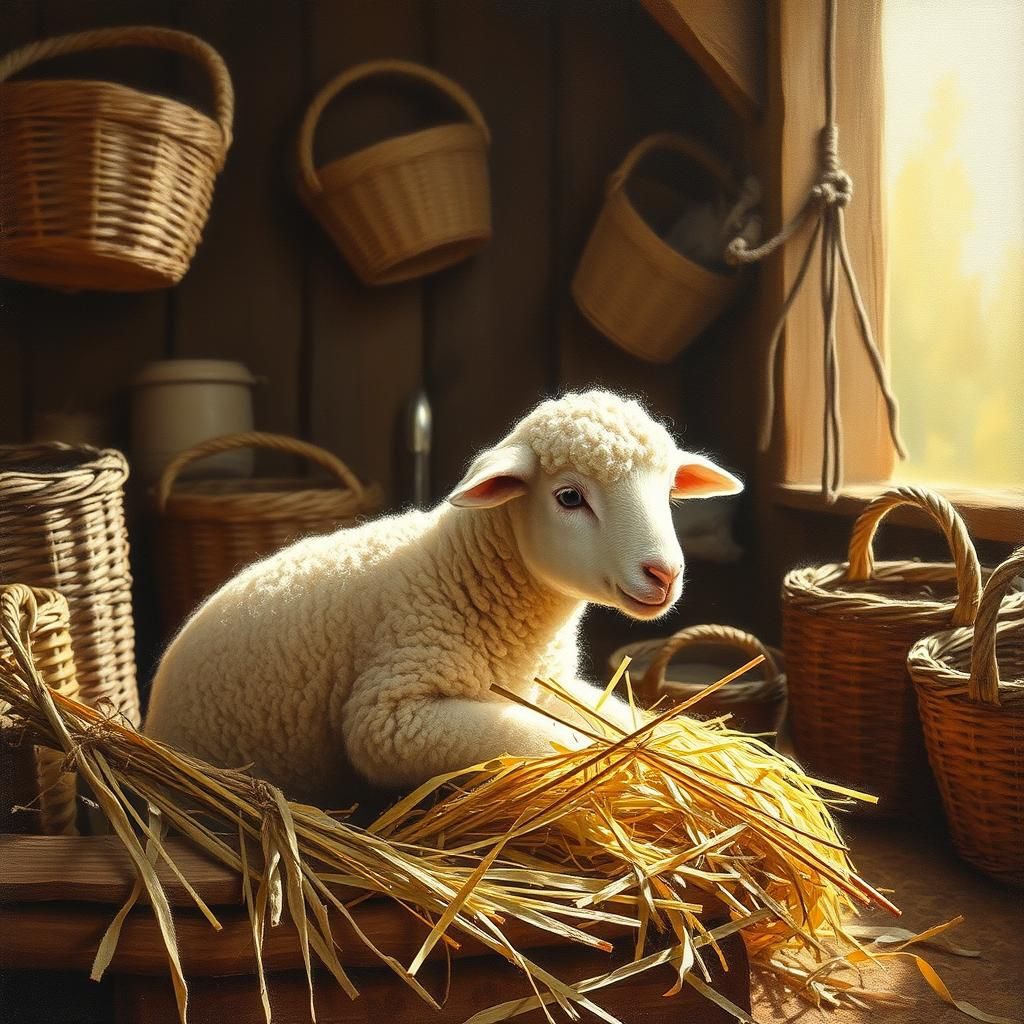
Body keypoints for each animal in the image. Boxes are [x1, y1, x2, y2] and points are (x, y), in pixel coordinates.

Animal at [144, 390, 742, 804]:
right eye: (570, 497)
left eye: (668, 491)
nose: (664, 574)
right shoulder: (391, 715)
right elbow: (544, 737)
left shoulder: (550, 684)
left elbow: (620, 718)